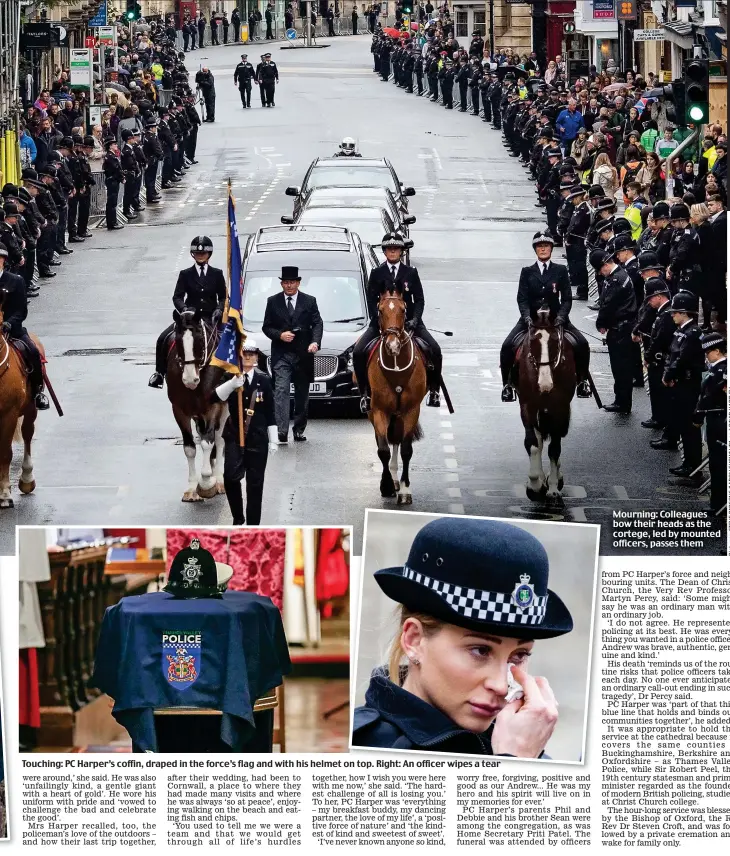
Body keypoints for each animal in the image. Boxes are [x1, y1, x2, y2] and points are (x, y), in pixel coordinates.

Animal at [166, 310, 228, 502]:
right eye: (178, 340)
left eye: (200, 339)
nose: (190, 380)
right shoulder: (179, 410)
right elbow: (190, 448)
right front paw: (193, 488)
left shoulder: (213, 407)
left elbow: (208, 443)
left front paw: (208, 482)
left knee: (220, 440)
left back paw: (219, 480)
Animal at [364, 290, 426, 504]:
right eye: (380, 310)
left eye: (404, 309)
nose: (393, 346)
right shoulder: (379, 410)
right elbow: (383, 449)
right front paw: (387, 486)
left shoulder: (411, 410)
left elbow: (406, 449)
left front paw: (405, 490)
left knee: (397, 439)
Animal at [512, 310, 576, 504]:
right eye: (532, 342)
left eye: (556, 342)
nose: (545, 384)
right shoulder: (528, 407)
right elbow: (533, 444)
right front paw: (534, 486)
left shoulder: (561, 410)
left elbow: (554, 450)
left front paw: (553, 488)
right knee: (539, 442)